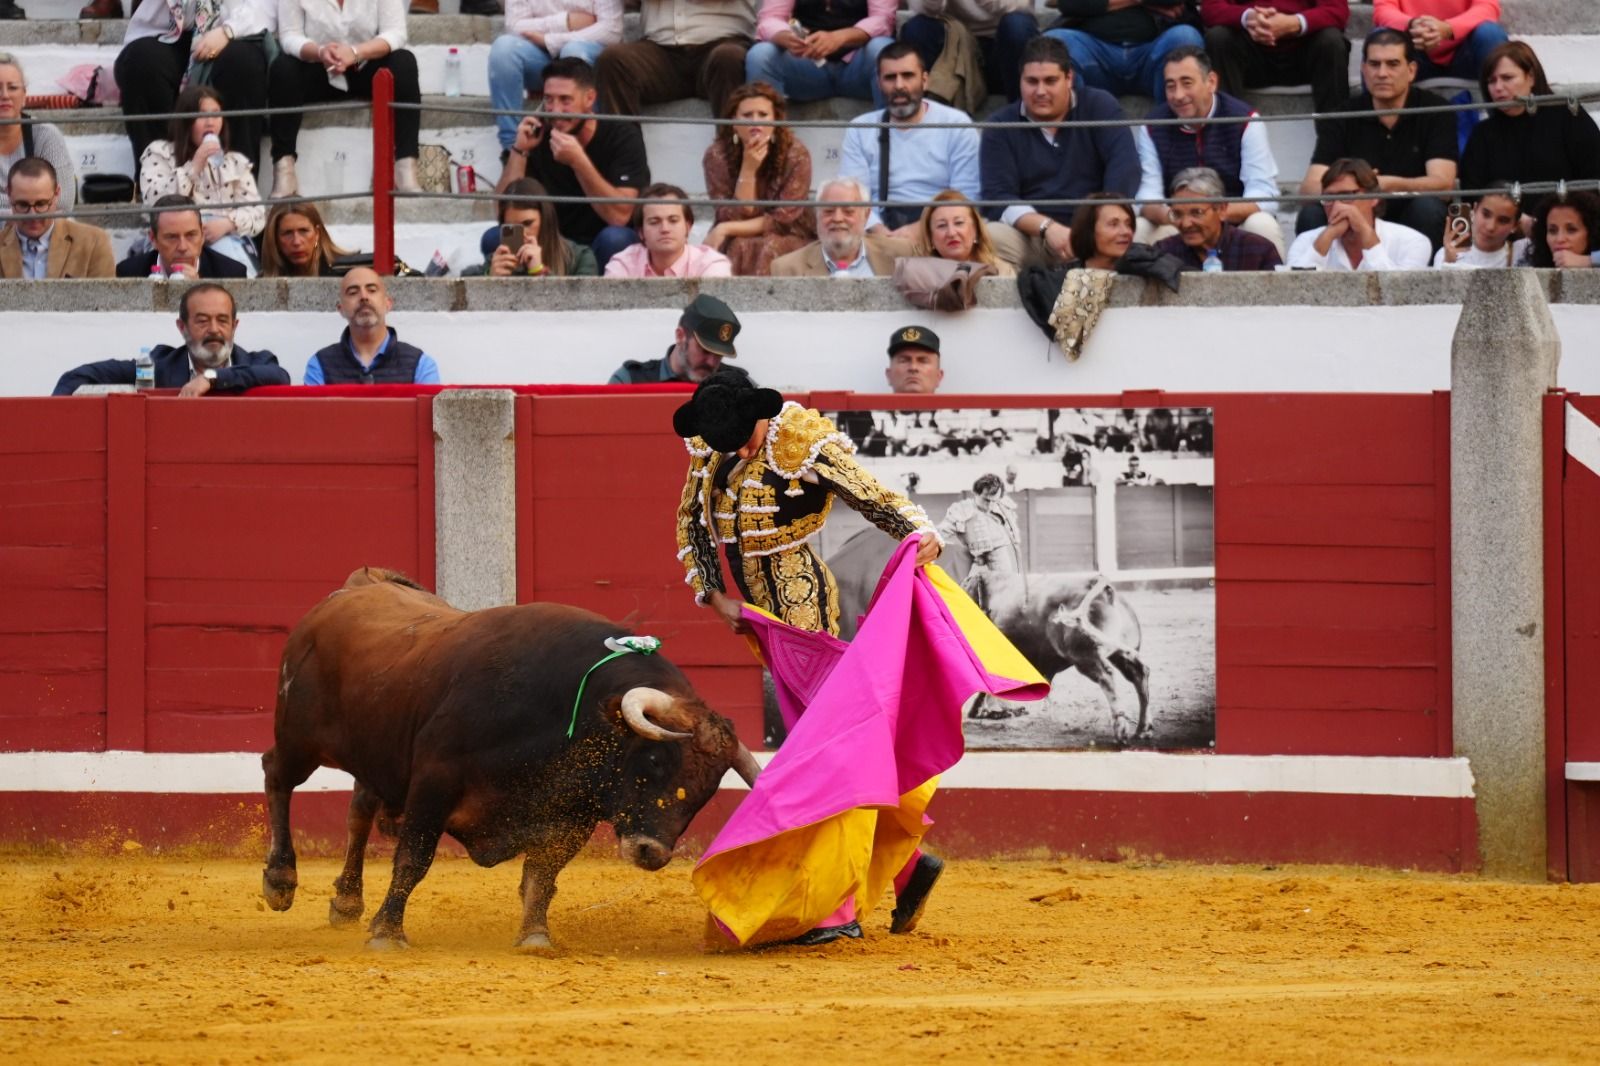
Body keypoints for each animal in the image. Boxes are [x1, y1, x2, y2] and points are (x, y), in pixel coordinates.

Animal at [262, 569, 761, 947]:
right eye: (656, 760)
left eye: (707, 789)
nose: (650, 853)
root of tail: (355, 587)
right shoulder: (434, 782)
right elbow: (413, 858)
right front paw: (387, 932)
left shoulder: (569, 814)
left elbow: (542, 874)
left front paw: (535, 935)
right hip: (299, 738)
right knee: (277, 776)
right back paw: (280, 880)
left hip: (378, 756)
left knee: (359, 811)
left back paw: (346, 901)